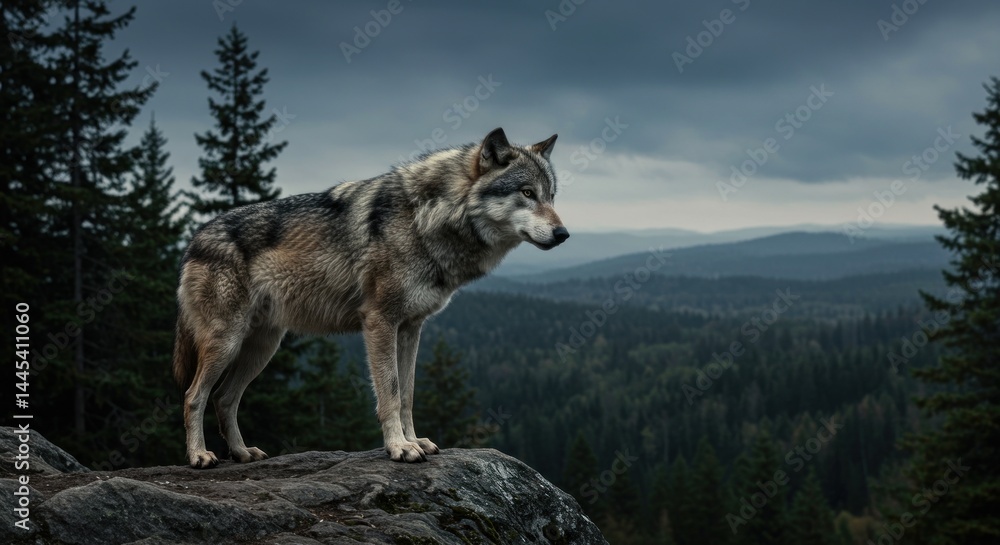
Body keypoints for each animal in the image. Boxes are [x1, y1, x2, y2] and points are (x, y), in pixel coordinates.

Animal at [173, 128, 569, 468]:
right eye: (527, 193)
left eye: (551, 196)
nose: (563, 234)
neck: (425, 218)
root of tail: (192, 241)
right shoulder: (380, 322)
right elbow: (390, 391)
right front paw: (399, 447)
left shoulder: (411, 328)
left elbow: (407, 393)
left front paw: (415, 440)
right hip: (227, 342)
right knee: (194, 396)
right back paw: (199, 456)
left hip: (262, 349)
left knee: (224, 398)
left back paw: (241, 453)